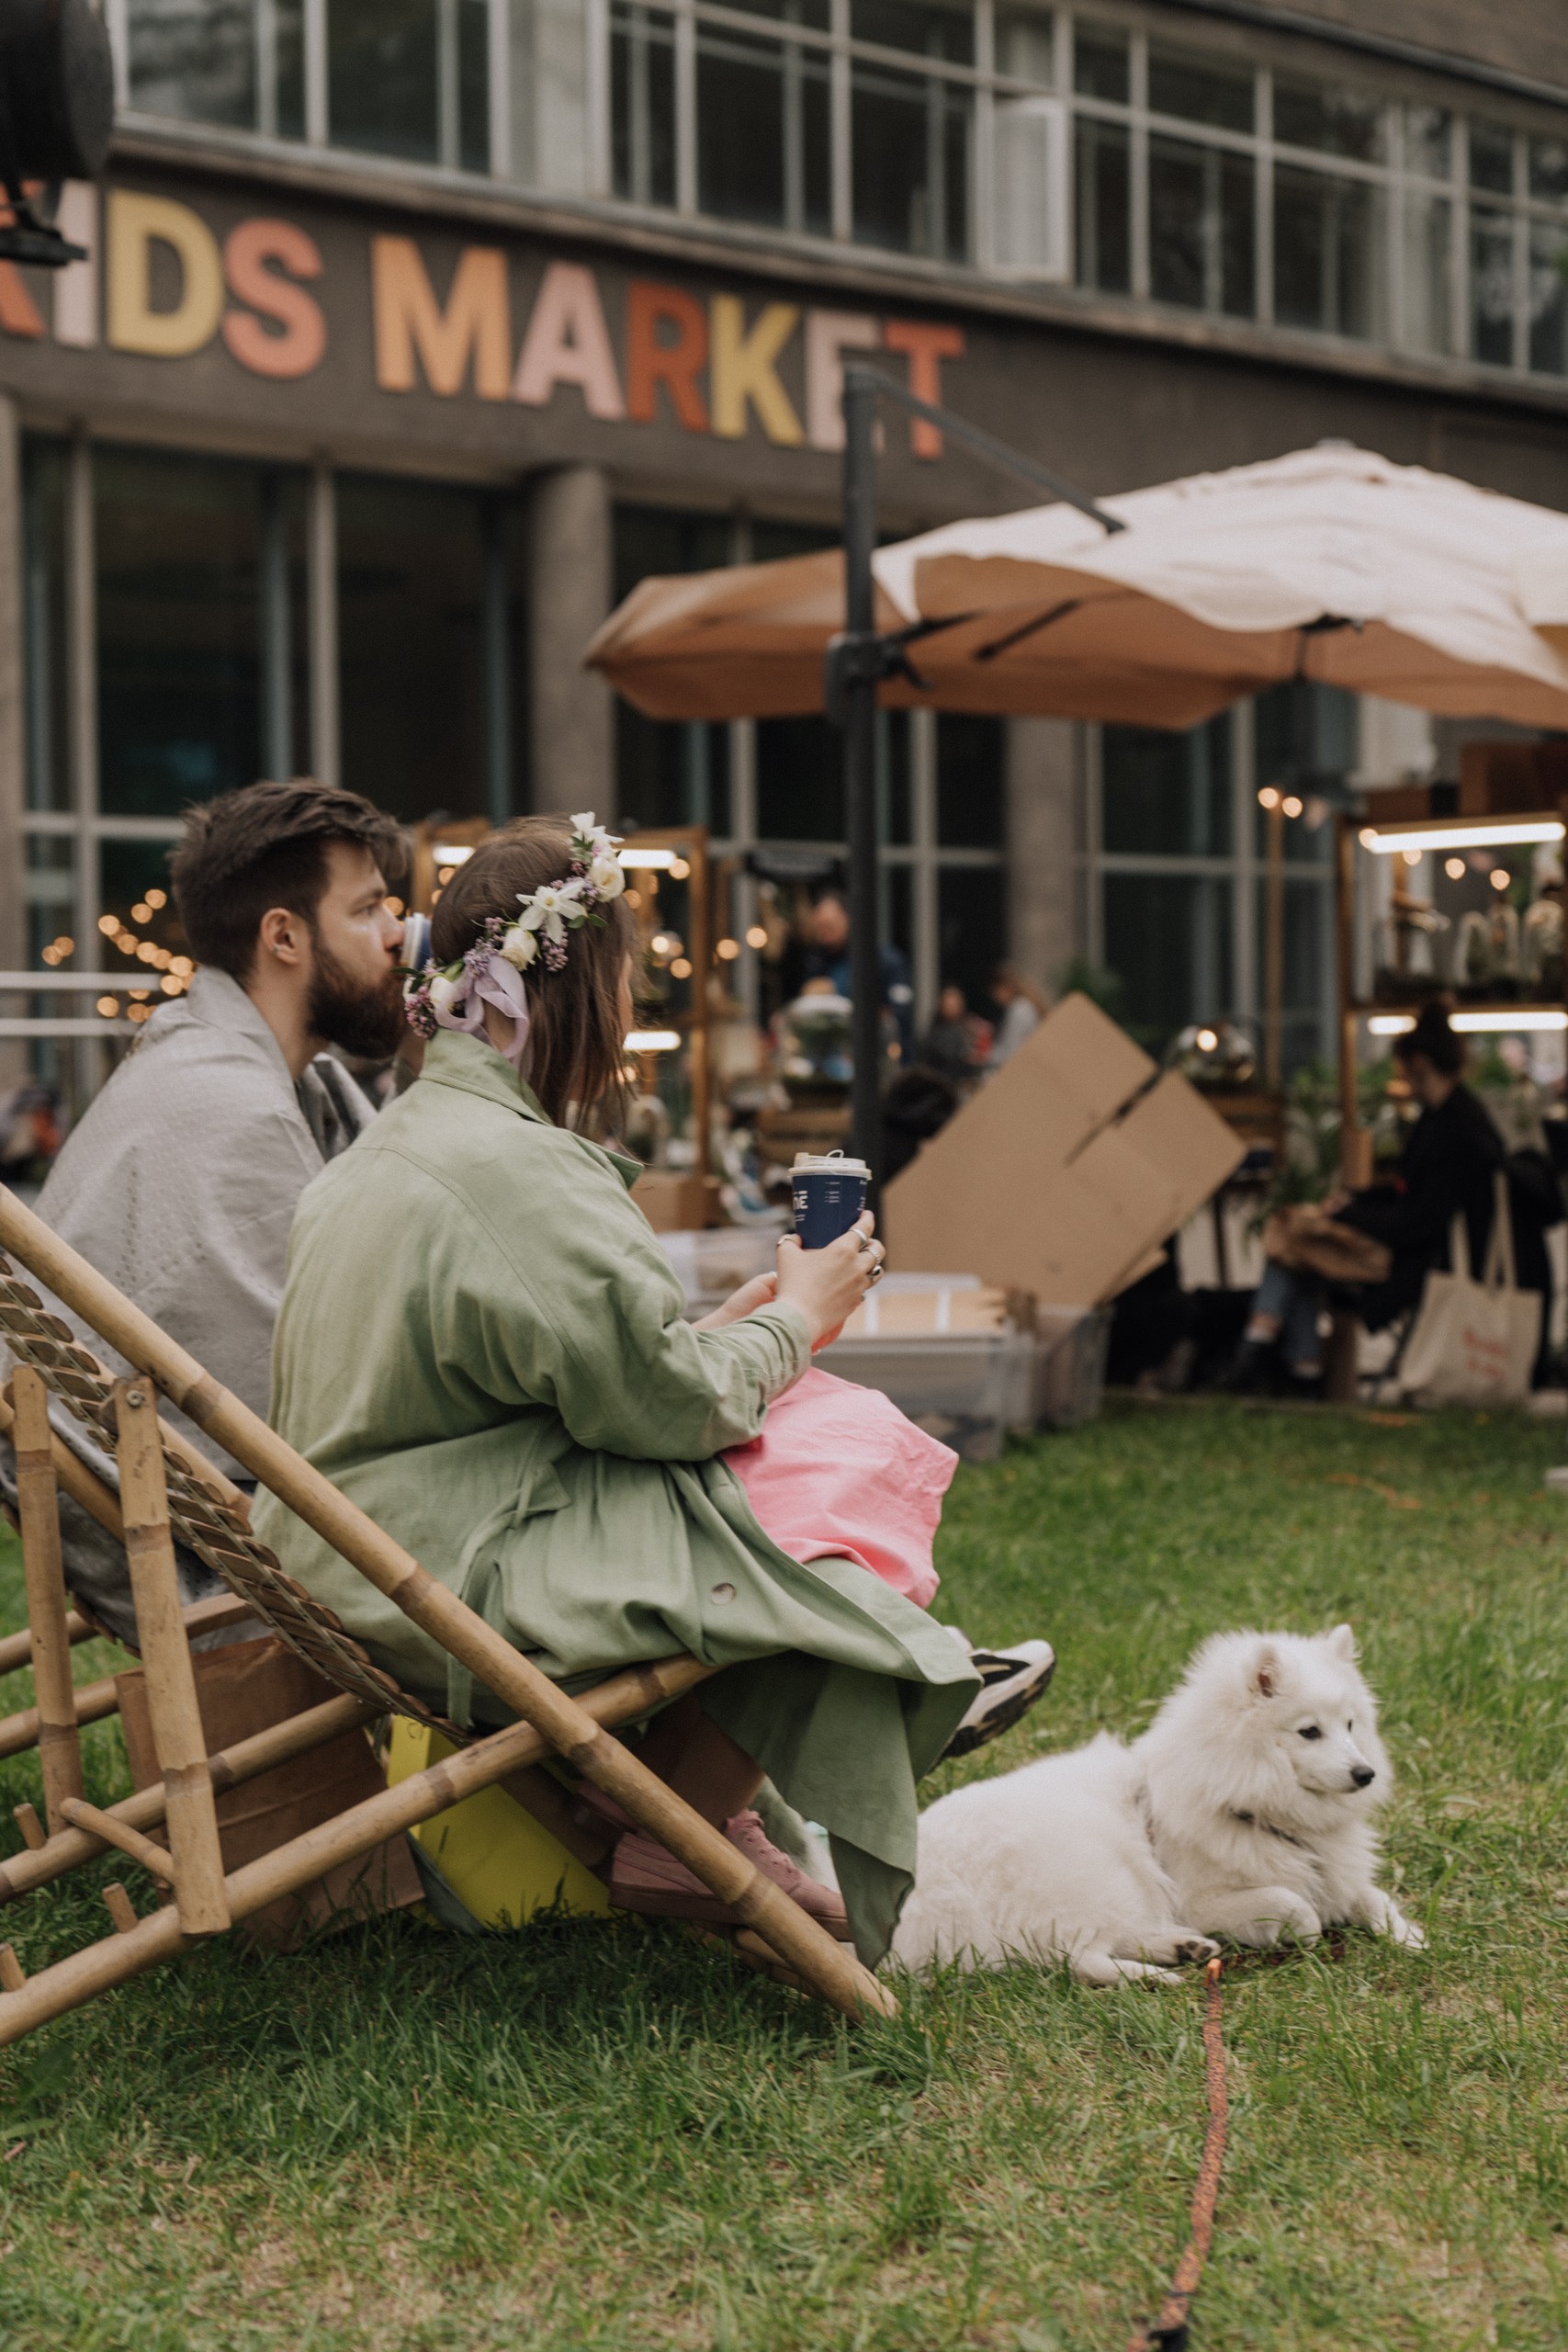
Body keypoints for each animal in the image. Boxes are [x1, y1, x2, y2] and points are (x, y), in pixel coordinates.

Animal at [893, 1627, 1419, 1994]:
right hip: (1098, 1873)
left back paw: (1182, 1948)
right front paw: (1292, 1935)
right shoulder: (1199, 1898)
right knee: (1079, 1959)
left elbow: (1370, 1895)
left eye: (1350, 1725)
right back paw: (1155, 1974)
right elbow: (1300, 1909)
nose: (1365, 1773)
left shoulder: (1335, 1874)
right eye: (1310, 1732)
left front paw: (1407, 1934)